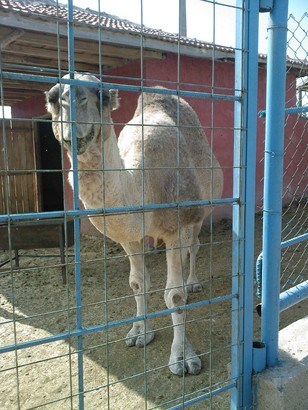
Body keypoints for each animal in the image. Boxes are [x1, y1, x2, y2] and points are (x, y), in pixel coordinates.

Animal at [46, 73, 224, 374]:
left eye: (102, 95)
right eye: (52, 98)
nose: (70, 106)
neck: (141, 181)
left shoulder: (177, 225)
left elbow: (174, 296)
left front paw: (182, 357)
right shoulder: (130, 236)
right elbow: (138, 283)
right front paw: (140, 332)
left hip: (201, 210)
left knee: (194, 246)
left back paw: (192, 283)